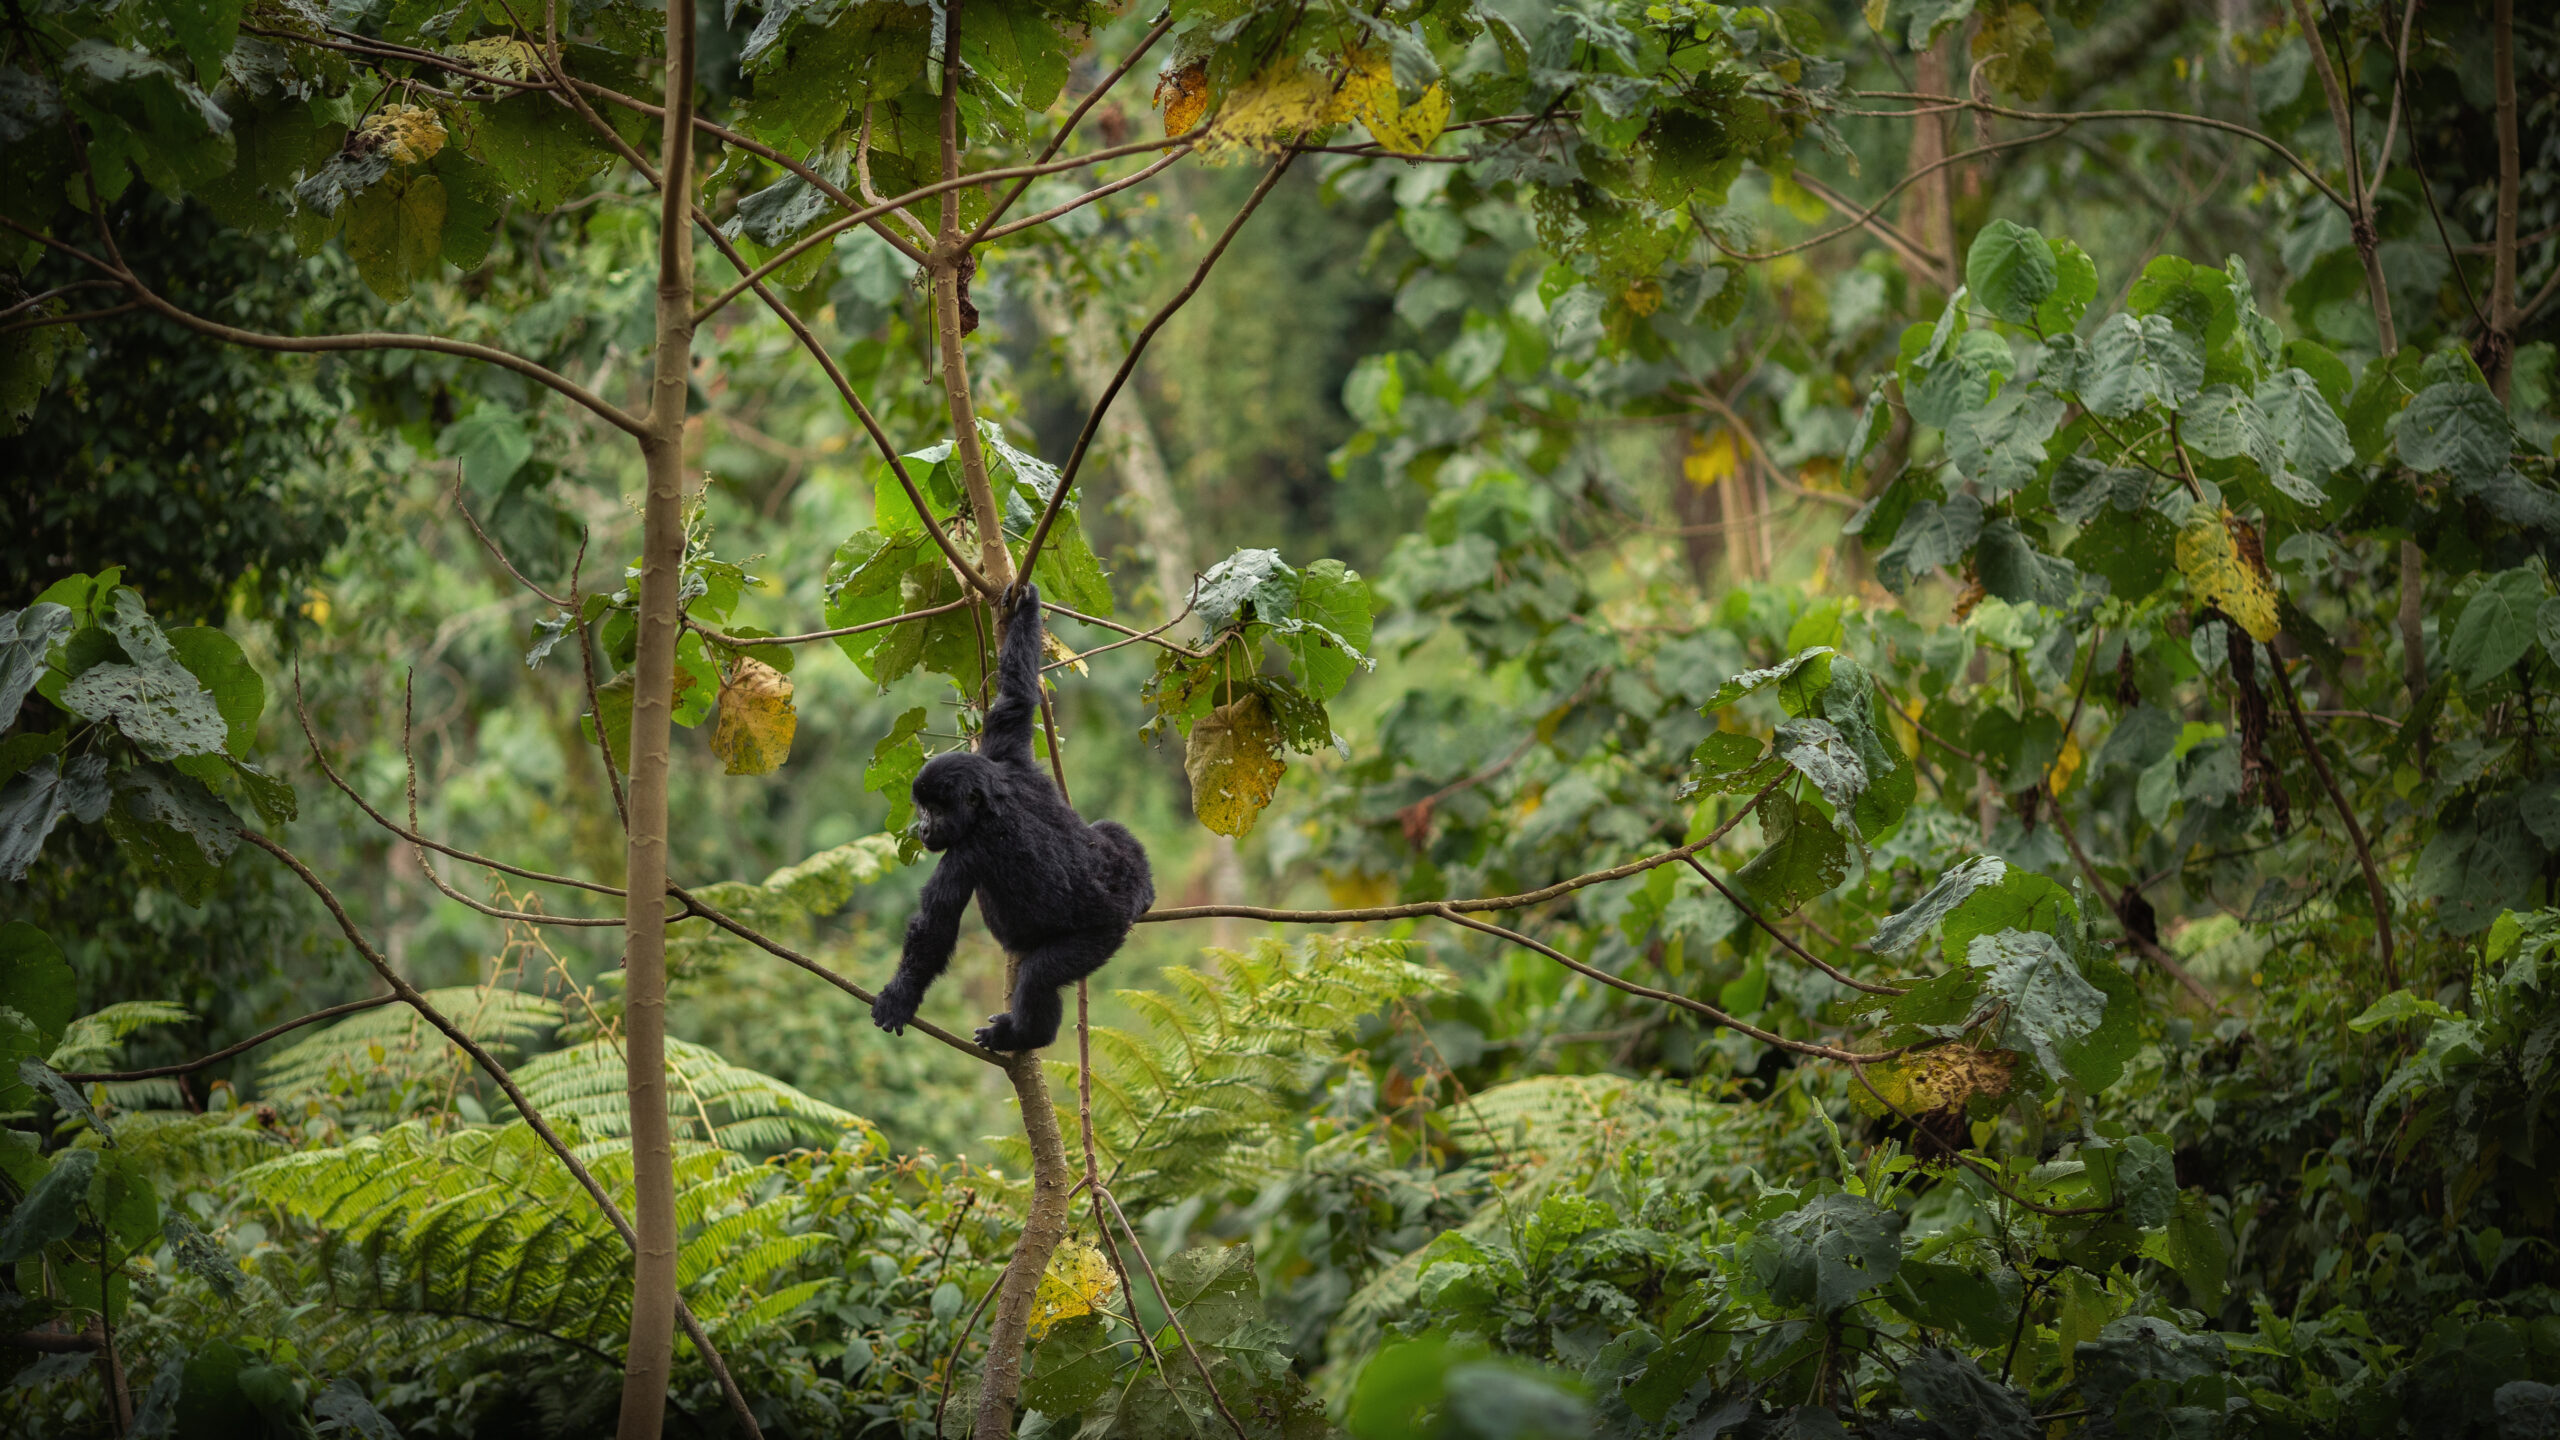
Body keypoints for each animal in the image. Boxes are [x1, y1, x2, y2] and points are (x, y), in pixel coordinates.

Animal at [869, 581, 1154, 1052]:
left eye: (934, 809)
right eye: (921, 808)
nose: (923, 828)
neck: (990, 799)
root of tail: (1127, 900)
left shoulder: (967, 851)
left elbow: (934, 930)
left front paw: (899, 997)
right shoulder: (1006, 756)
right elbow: (1017, 697)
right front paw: (1024, 608)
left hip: (1101, 933)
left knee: (1041, 975)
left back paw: (1024, 1034)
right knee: (1107, 831)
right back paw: (1147, 886)